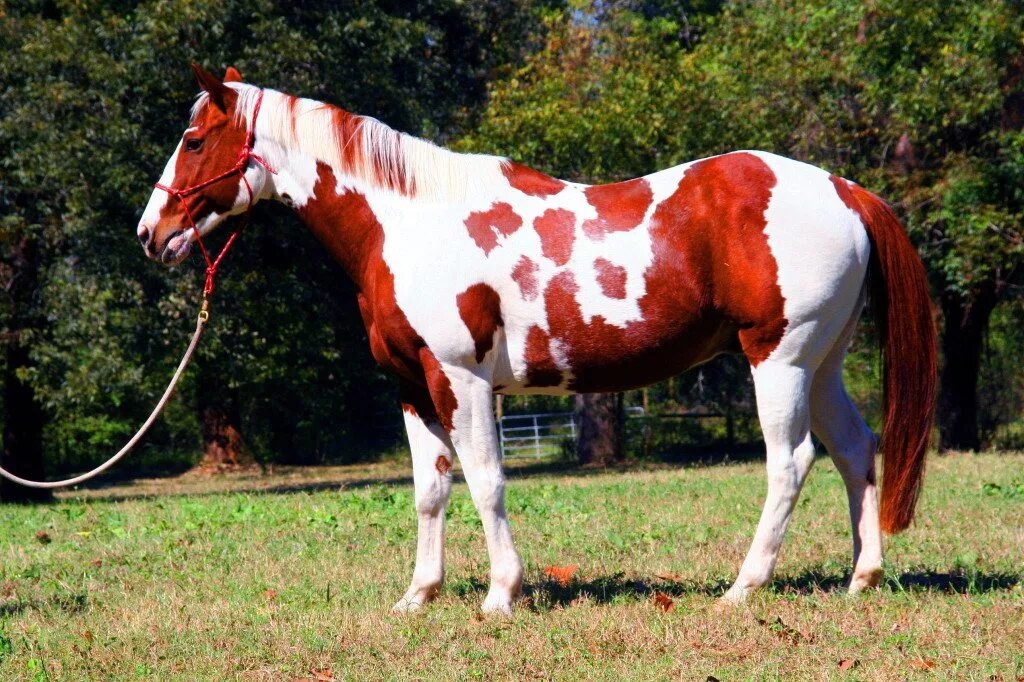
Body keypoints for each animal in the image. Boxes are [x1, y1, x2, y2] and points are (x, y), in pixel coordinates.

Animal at [136, 66, 937, 614]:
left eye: (194, 140)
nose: (150, 233)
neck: (407, 223)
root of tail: (842, 188)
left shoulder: (462, 380)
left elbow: (486, 480)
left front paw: (501, 594)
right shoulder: (412, 387)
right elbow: (430, 489)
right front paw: (418, 595)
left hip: (780, 359)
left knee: (791, 462)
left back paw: (744, 587)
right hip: (821, 363)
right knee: (855, 450)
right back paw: (862, 578)